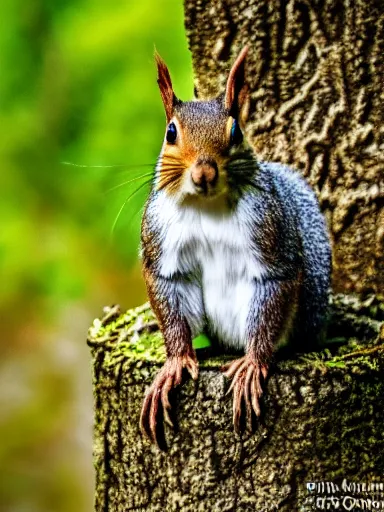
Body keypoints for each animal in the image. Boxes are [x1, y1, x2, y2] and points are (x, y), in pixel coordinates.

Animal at [140, 47, 332, 448]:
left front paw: (253, 364)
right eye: (170, 132)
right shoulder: (161, 243)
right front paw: (175, 363)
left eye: (236, 131)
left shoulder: (272, 239)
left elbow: (273, 292)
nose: (204, 172)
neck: (207, 206)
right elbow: (170, 294)